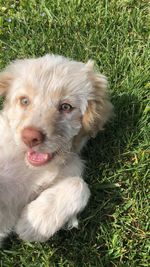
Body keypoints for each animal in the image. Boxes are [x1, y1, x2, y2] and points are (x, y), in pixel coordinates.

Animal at [0, 55, 112, 247]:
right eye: (24, 101)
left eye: (66, 107)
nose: (30, 137)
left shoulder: (71, 169)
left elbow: (79, 185)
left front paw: (34, 221)